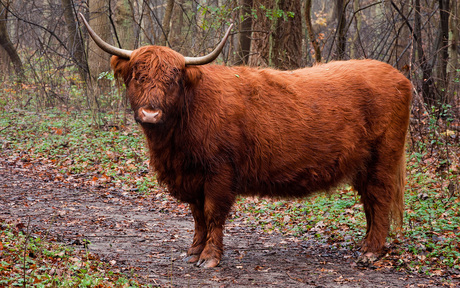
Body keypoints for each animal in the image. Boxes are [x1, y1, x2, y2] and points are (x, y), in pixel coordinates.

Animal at [80, 14, 414, 268]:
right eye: (138, 75)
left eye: (173, 78)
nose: (150, 113)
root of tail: (398, 76)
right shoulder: (190, 176)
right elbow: (197, 216)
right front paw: (193, 252)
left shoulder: (219, 172)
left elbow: (213, 214)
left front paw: (210, 257)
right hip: (362, 165)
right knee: (370, 203)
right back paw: (365, 246)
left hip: (383, 159)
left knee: (380, 200)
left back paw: (371, 252)